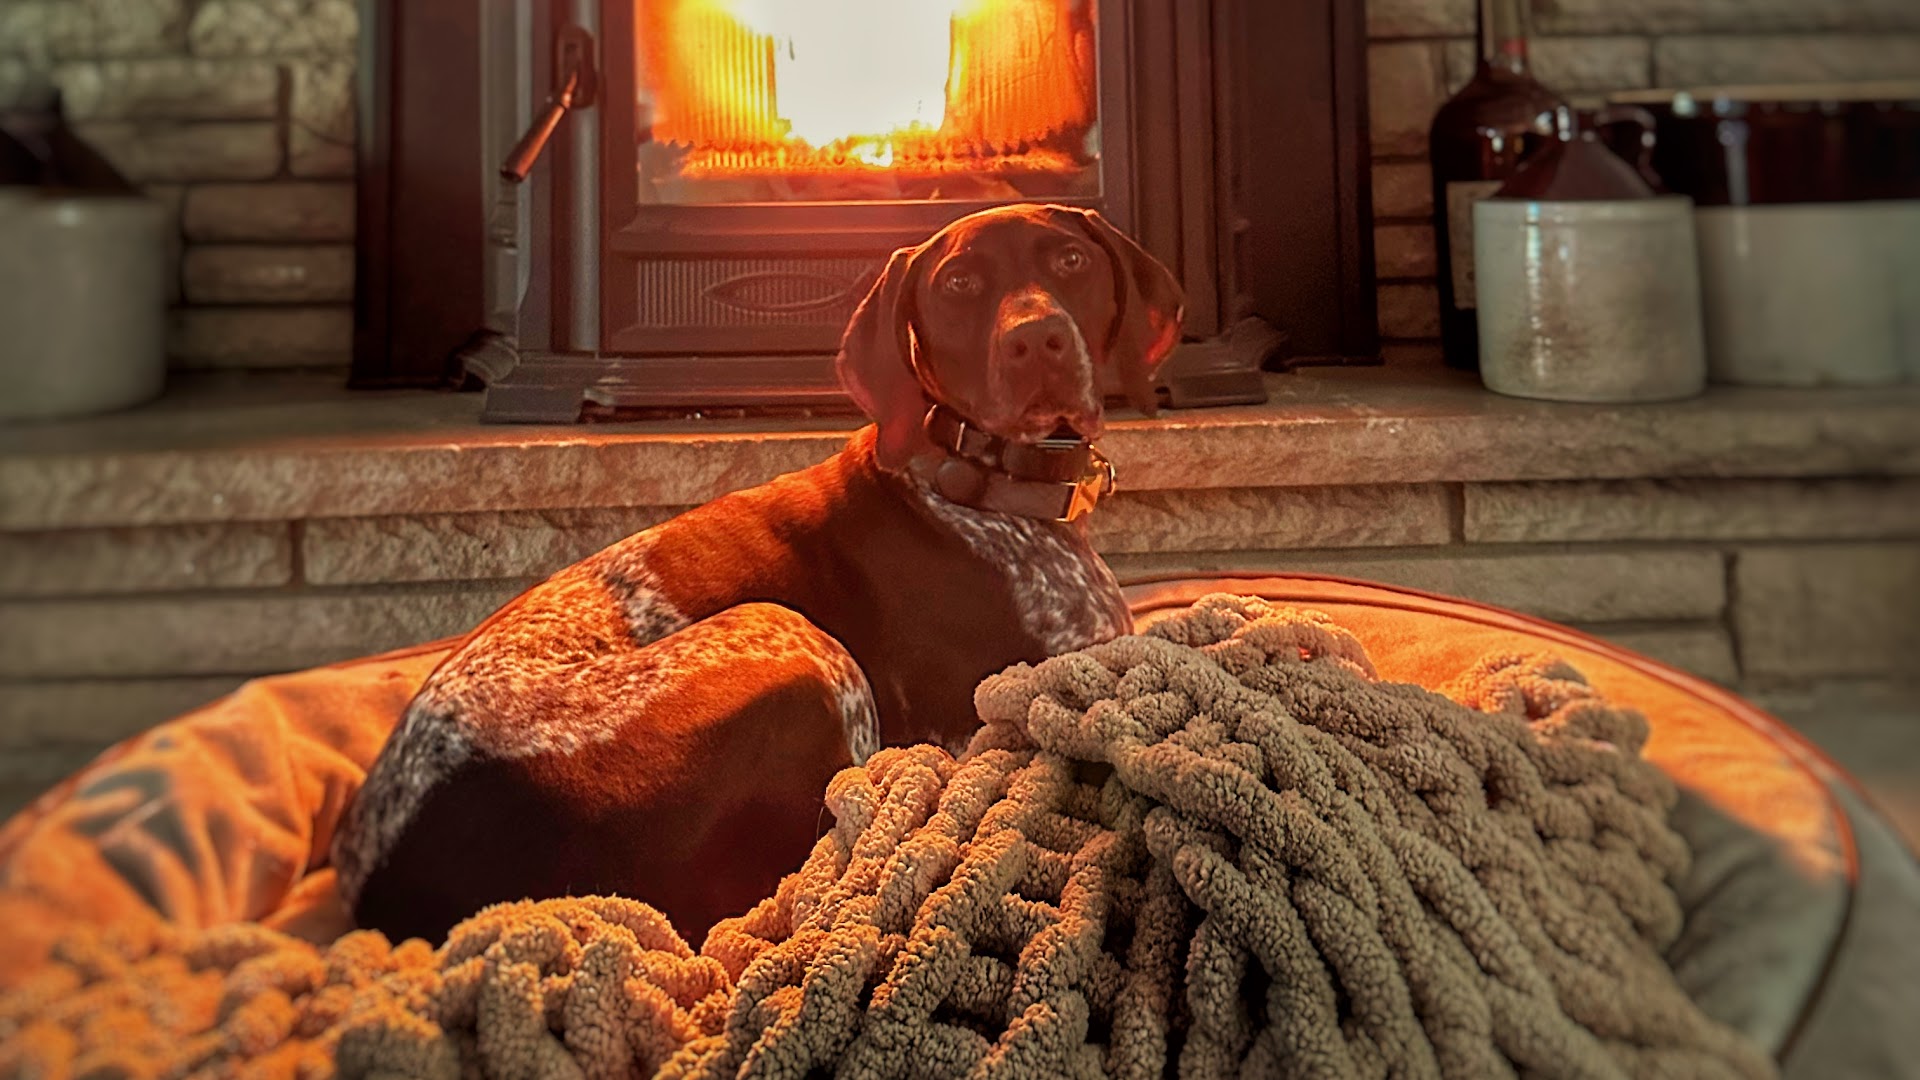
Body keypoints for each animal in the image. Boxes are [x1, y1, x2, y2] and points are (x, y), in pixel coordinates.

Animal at [330, 203, 1182, 941]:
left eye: (1071, 262)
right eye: (959, 284)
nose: (1037, 339)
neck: (970, 477)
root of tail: (392, 897)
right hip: (792, 637)